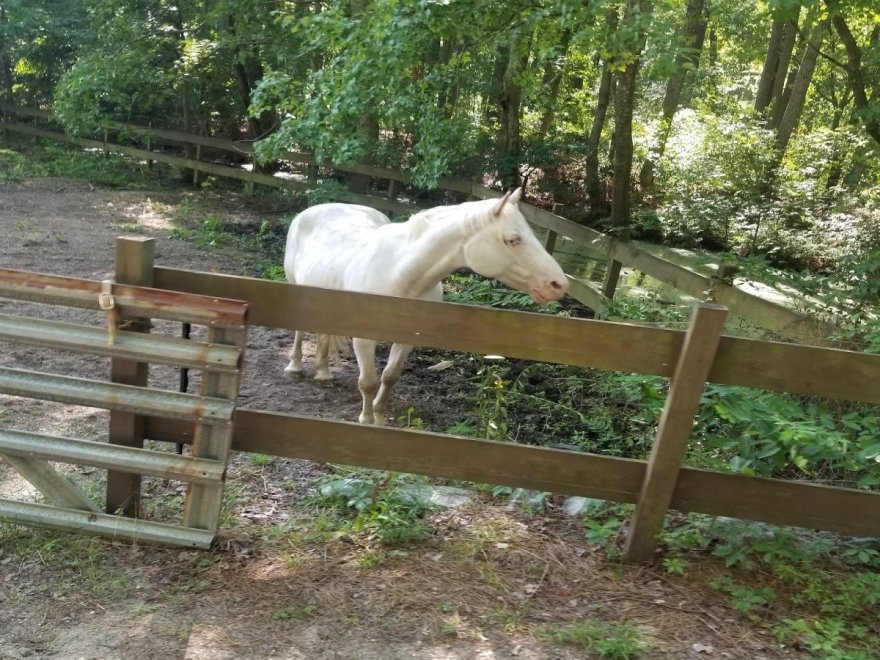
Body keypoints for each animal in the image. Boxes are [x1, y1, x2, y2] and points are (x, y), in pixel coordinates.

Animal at [286, 188, 568, 426]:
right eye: (513, 239)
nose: (559, 284)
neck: (400, 272)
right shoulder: (363, 340)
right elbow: (367, 382)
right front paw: (366, 420)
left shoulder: (407, 339)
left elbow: (389, 376)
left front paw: (380, 416)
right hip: (294, 287)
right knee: (299, 332)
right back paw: (295, 367)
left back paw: (323, 371)